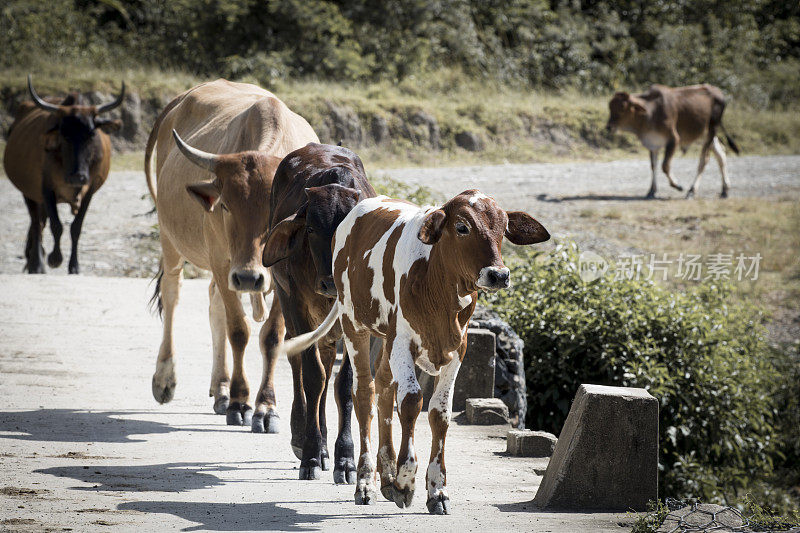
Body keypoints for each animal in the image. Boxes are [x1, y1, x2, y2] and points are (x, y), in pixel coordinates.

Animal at [2, 74, 124, 272]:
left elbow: (76, 227)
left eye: (91, 134)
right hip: (28, 192)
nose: (78, 176)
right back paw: (36, 263)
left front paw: (74, 266)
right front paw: (54, 258)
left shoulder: (90, 190)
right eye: (64, 134)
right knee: (37, 223)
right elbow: (56, 225)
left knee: (39, 221)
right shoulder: (45, 188)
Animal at [145, 78, 320, 424]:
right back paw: (166, 379)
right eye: (225, 205)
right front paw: (241, 401)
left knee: (214, 304)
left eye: (275, 208)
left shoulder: (282, 277)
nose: (249, 279)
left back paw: (220, 388)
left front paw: (265, 406)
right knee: (173, 294)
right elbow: (238, 330)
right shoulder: (224, 261)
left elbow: (272, 336)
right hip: (172, 240)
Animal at [280, 190, 552, 512]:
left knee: (384, 389)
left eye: (504, 228)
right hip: (354, 325)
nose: (498, 275)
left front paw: (436, 490)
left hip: (385, 341)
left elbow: (439, 412)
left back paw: (385, 475)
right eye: (462, 227)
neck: (438, 286)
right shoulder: (402, 340)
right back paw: (365, 482)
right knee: (364, 394)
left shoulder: (457, 349)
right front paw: (406, 480)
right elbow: (410, 402)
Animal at [608, 84, 740, 198]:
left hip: (711, 130)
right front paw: (651, 190)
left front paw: (677, 185)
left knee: (704, 160)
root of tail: (719, 92)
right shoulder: (653, 143)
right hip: (707, 134)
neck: (651, 112)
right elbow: (654, 166)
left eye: (622, 108)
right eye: (610, 107)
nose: (609, 127)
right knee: (721, 155)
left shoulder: (673, 140)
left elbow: (665, 166)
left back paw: (692, 190)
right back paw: (725, 189)